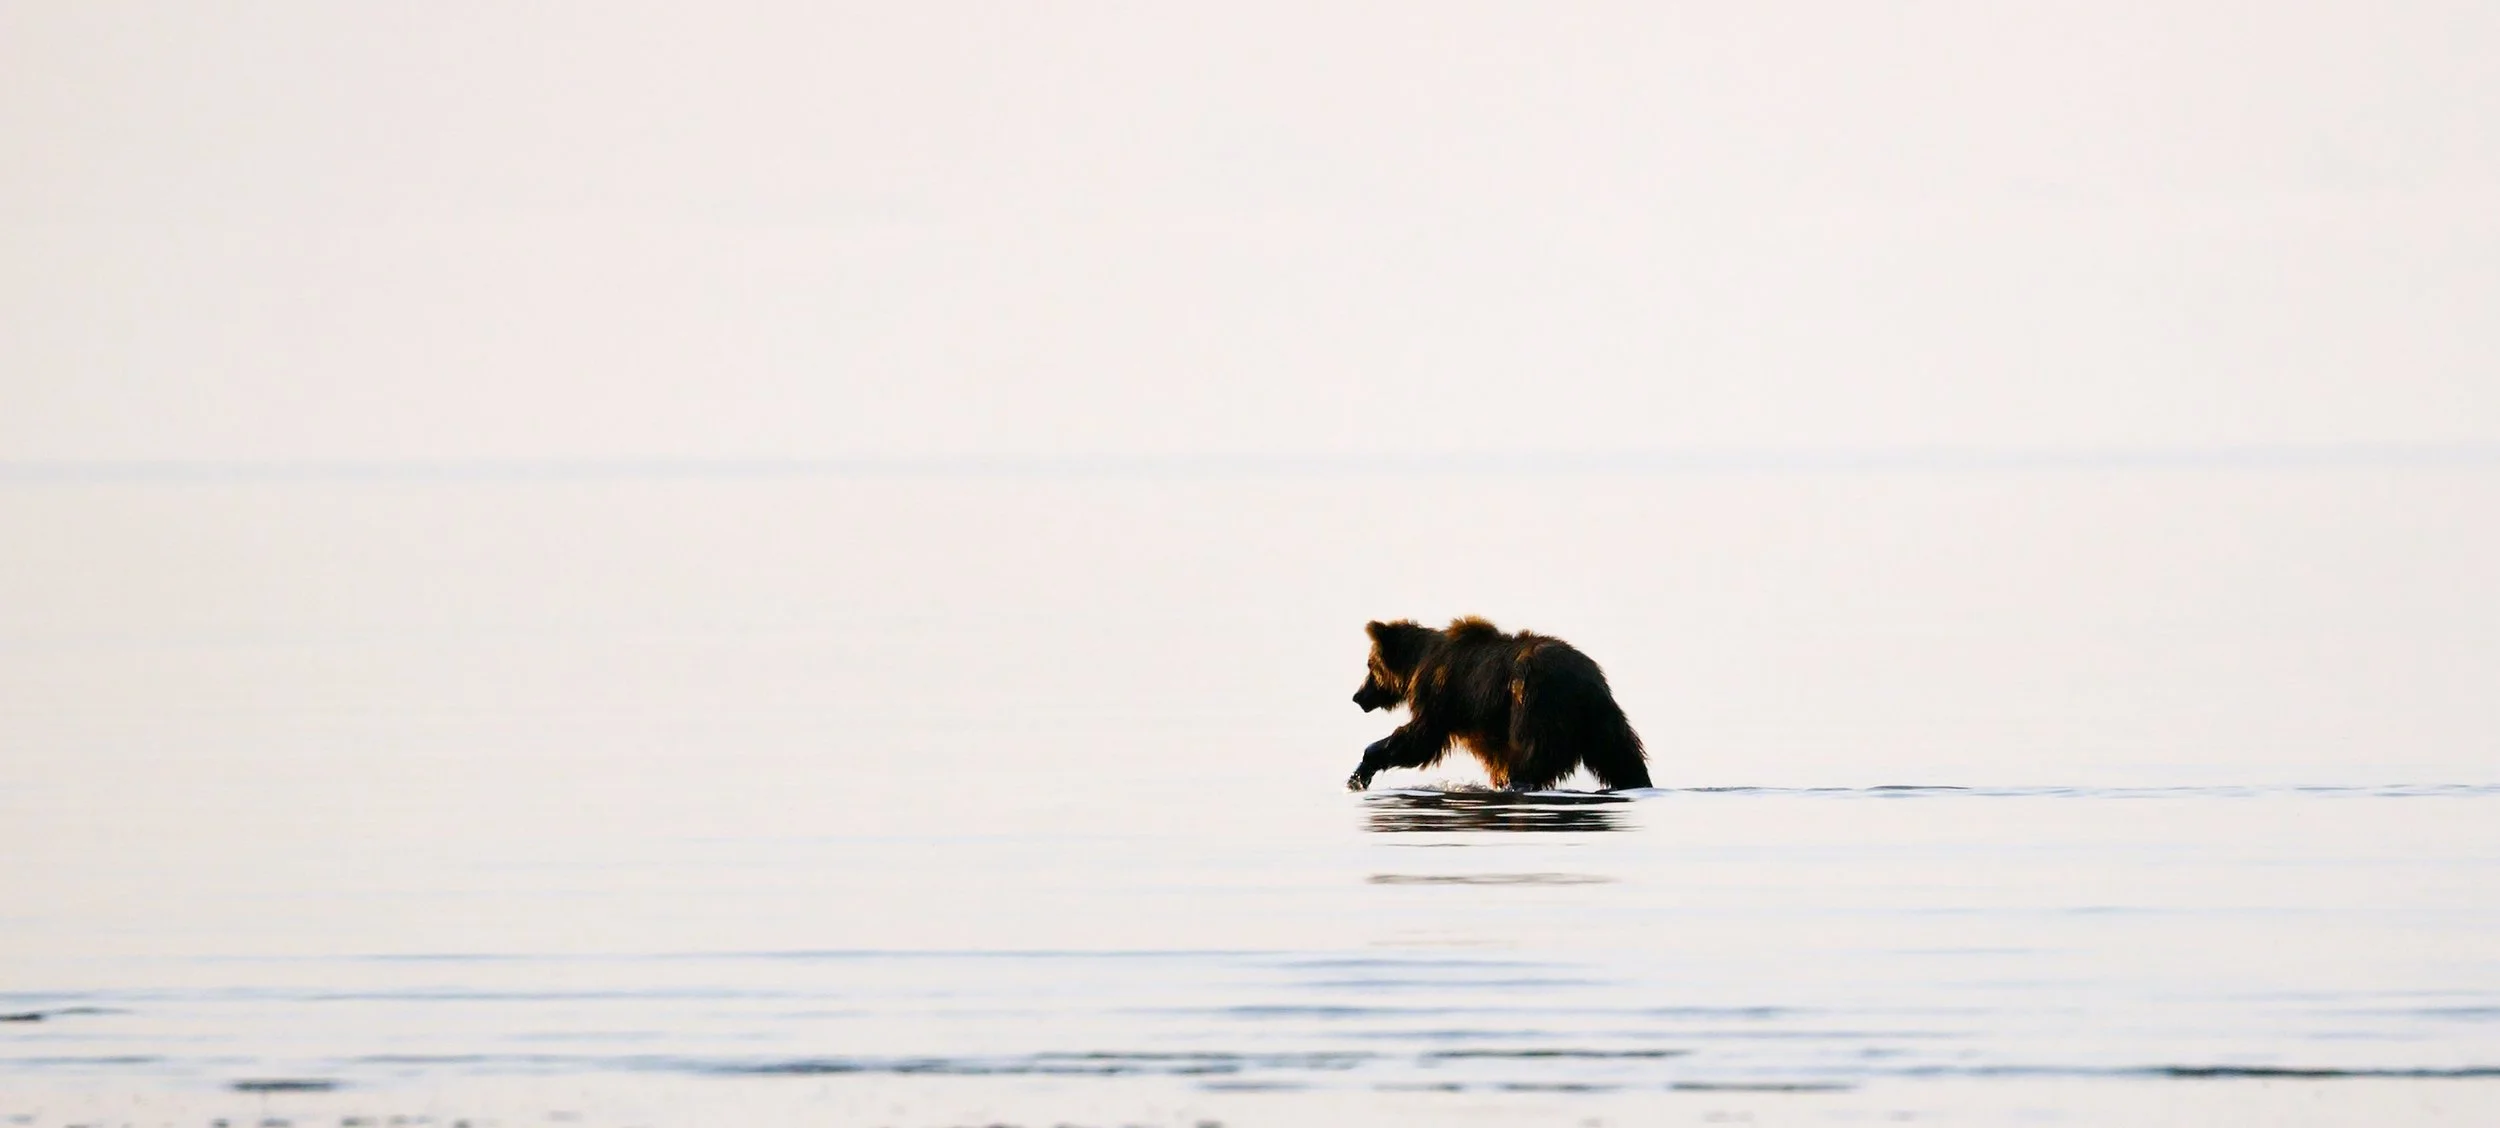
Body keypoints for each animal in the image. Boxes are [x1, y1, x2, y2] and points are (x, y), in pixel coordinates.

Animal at [1346, 617, 1652, 792]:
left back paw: (1515, 783)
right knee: (1620, 755)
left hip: (1535, 704)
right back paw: (1637, 781)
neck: (1416, 664)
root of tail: (1584, 677)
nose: (1358, 696)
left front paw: (1361, 770)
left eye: (1370, 666)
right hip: (1601, 715)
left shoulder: (1439, 695)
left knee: (1530, 756)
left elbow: (1419, 740)